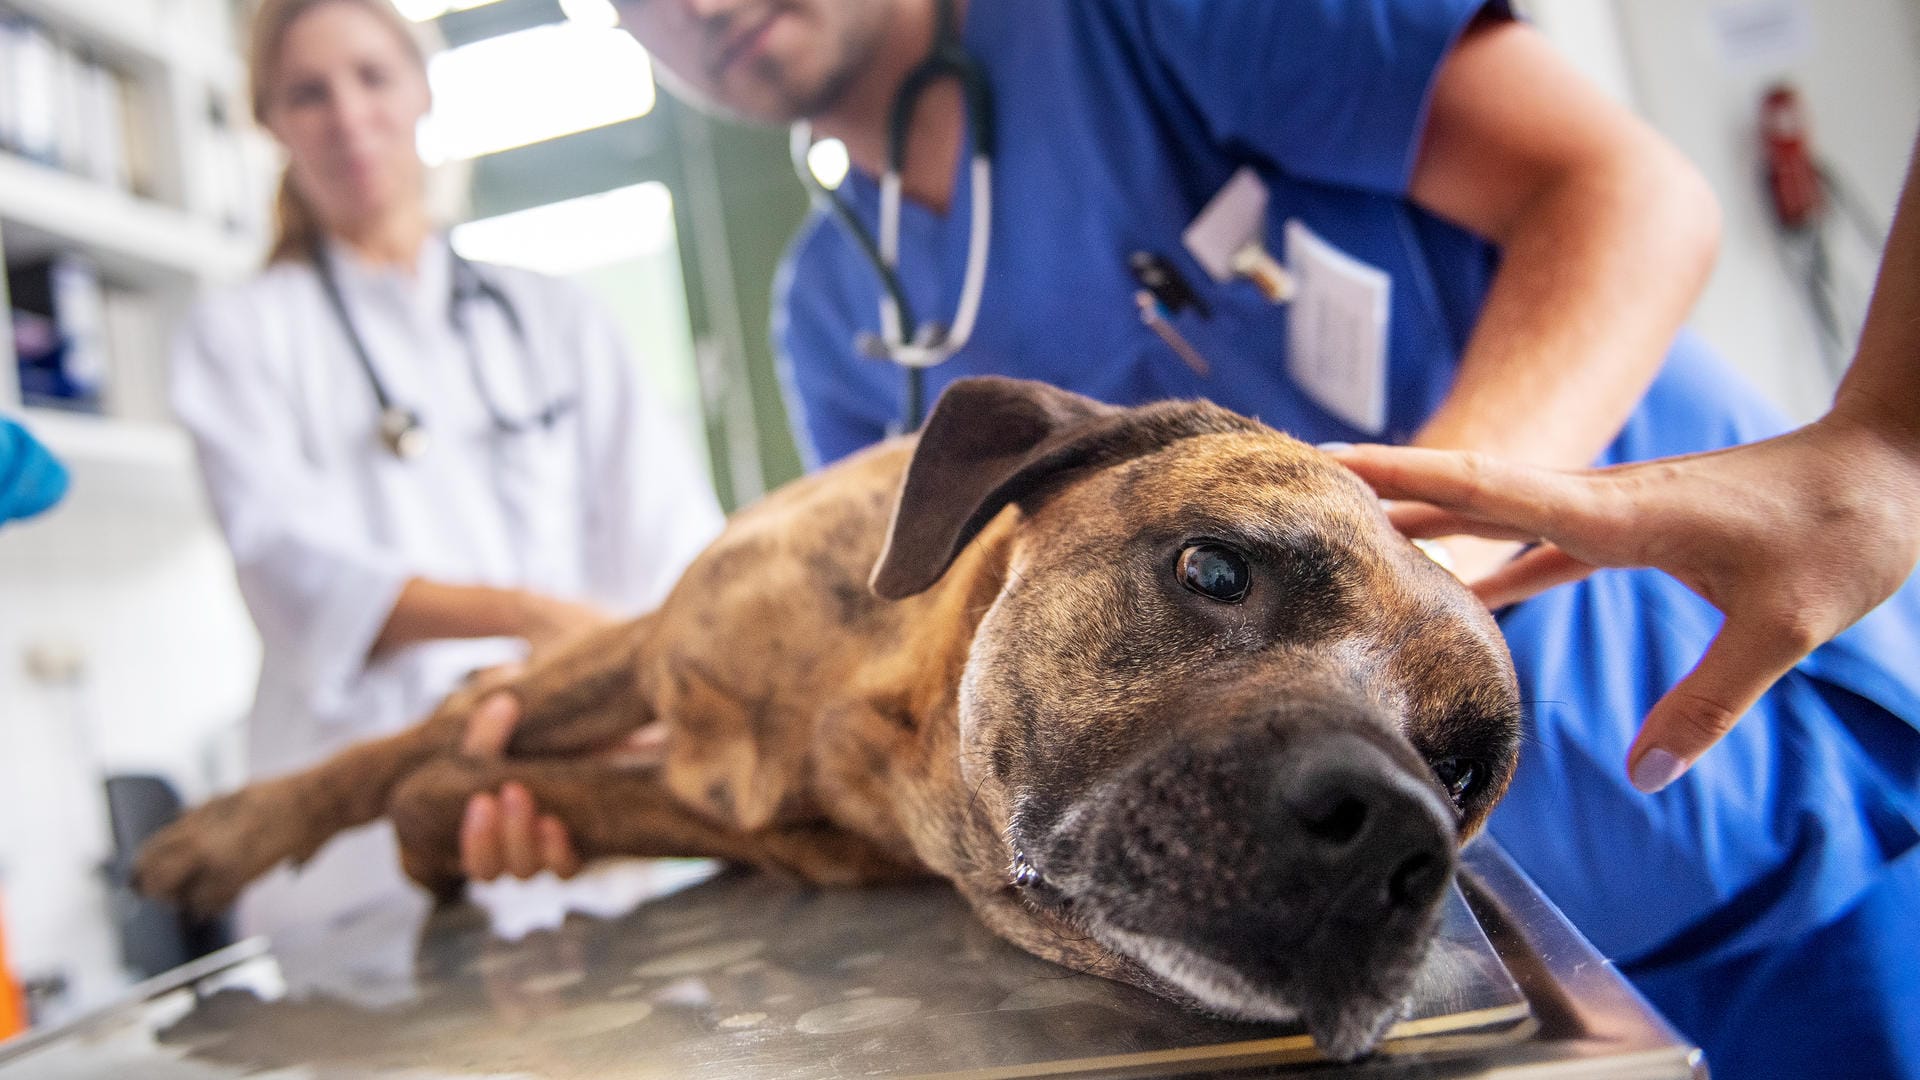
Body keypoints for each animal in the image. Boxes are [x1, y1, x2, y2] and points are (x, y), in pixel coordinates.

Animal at [135, 374, 1520, 1053]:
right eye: (1216, 570)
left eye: (1464, 776)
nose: (1394, 836)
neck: (879, 722)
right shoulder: (654, 652)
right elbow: (400, 750)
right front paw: (222, 838)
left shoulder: (737, 819)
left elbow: (471, 783)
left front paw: (441, 826)